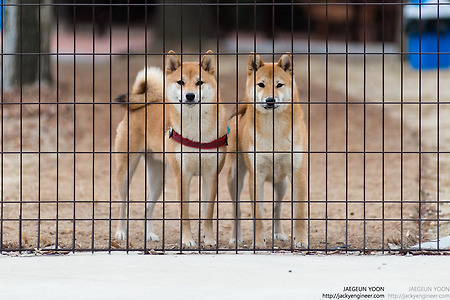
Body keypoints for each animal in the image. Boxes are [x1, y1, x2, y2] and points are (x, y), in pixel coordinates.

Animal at [115, 50, 227, 247]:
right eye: (180, 82)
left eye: (199, 82)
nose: (190, 95)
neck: (196, 129)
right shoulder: (182, 176)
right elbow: (185, 214)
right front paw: (188, 240)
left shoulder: (211, 176)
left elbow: (208, 214)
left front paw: (209, 239)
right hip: (125, 171)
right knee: (123, 204)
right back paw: (121, 233)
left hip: (158, 180)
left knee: (147, 207)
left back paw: (149, 234)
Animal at [227, 52, 308, 247]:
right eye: (261, 84)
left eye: (279, 85)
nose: (270, 100)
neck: (274, 131)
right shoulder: (256, 176)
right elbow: (257, 215)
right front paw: (258, 242)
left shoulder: (298, 173)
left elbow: (299, 213)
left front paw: (301, 240)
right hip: (235, 177)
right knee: (236, 209)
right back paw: (235, 237)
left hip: (282, 183)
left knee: (276, 208)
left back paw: (279, 233)